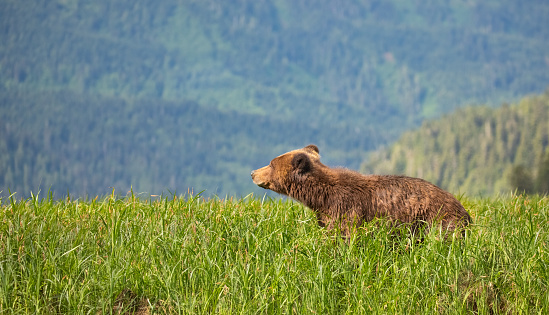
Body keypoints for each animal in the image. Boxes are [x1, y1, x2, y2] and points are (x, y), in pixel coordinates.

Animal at [253, 146, 470, 237]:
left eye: (271, 163)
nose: (253, 173)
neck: (321, 198)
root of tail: (465, 212)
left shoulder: (346, 210)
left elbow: (344, 237)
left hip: (436, 220)